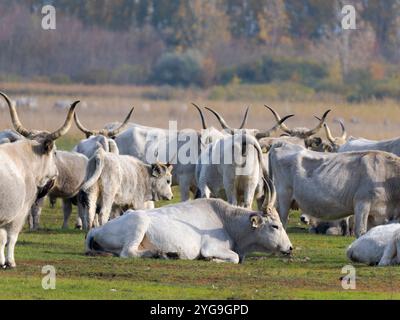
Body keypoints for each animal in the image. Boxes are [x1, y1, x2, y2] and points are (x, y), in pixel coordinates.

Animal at [0, 92, 76, 268]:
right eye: (54, 152)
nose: (55, 173)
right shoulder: (19, 212)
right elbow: (10, 237)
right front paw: (10, 262)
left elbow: (2, 238)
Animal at [84, 176, 292, 264]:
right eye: (275, 226)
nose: (290, 248)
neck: (226, 219)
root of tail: (96, 230)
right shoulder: (211, 247)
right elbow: (233, 258)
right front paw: (212, 260)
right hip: (139, 223)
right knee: (128, 252)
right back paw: (160, 254)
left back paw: (168, 254)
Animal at [268, 142, 400, 238]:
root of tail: (283, 143)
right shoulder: (362, 203)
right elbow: (361, 231)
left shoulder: (374, 213)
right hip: (284, 198)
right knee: (282, 222)